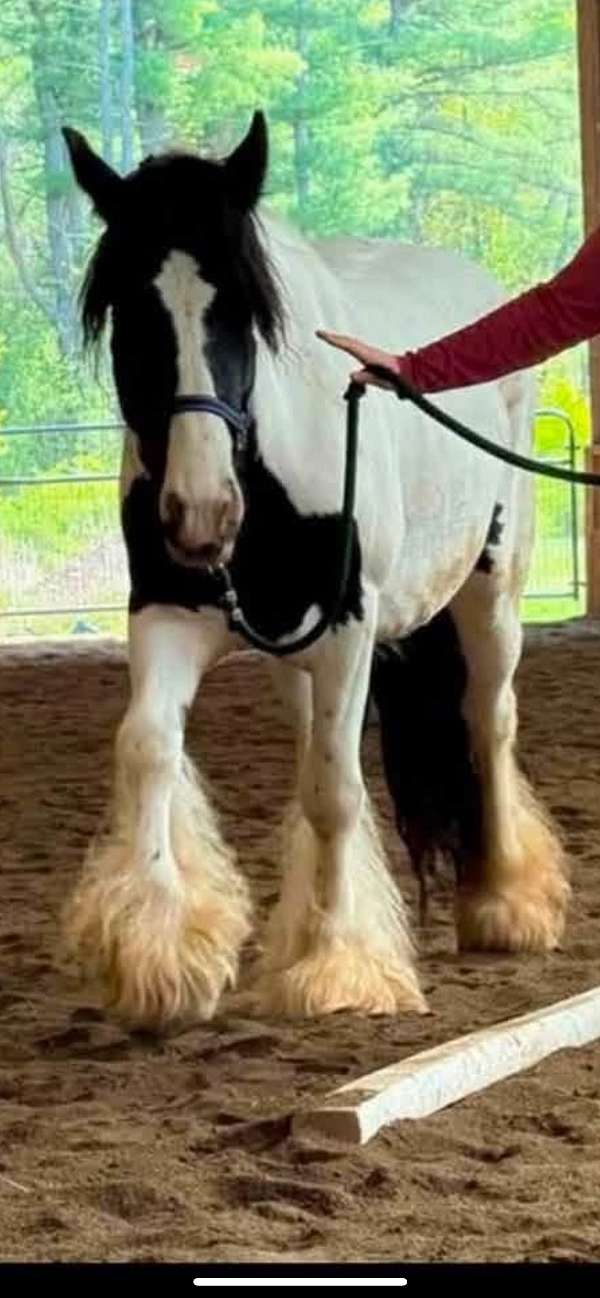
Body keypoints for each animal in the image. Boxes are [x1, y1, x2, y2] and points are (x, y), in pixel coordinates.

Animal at [61, 111, 569, 1028]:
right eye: (130, 312)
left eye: (243, 309)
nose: (201, 513)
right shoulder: (168, 611)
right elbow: (150, 747)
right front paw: (162, 954)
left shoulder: (348, 625)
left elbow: (334, 791)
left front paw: (338, 966)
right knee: (316, 742)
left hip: (489, 595)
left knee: (488, 718)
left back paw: (505, 902)